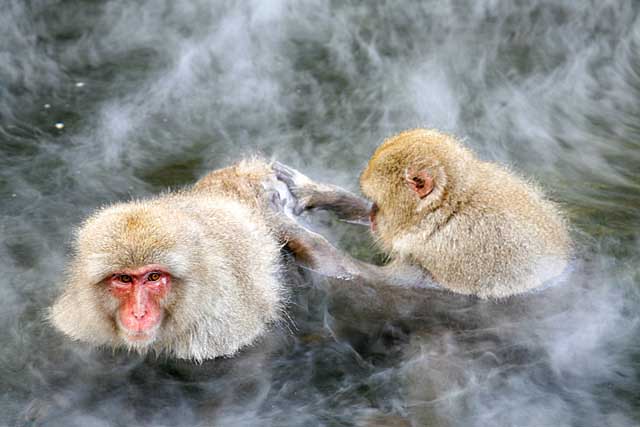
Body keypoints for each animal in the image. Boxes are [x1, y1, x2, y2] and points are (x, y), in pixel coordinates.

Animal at [276, 129, 568, 300]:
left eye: (379, 204)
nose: (372, 215)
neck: (447, 211)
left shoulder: (450, 251)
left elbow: (366, 280)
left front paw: (286, 225)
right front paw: (316, 192)